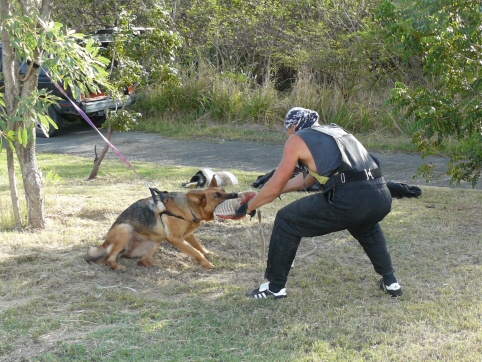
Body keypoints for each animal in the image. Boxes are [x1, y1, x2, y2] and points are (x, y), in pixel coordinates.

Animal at [86, 188, 239, 270]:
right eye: (217, 195)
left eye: (223, 191)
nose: (236, 194)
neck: (189, 207)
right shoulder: (176, 239)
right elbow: (196, 252)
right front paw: (206, 263)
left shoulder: (188, 235)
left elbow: (199, 246)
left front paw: (208, 254)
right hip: (125, 229)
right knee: (109, 259)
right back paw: (117, 266)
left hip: (155, 242)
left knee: (142, 261)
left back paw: (158, 266)